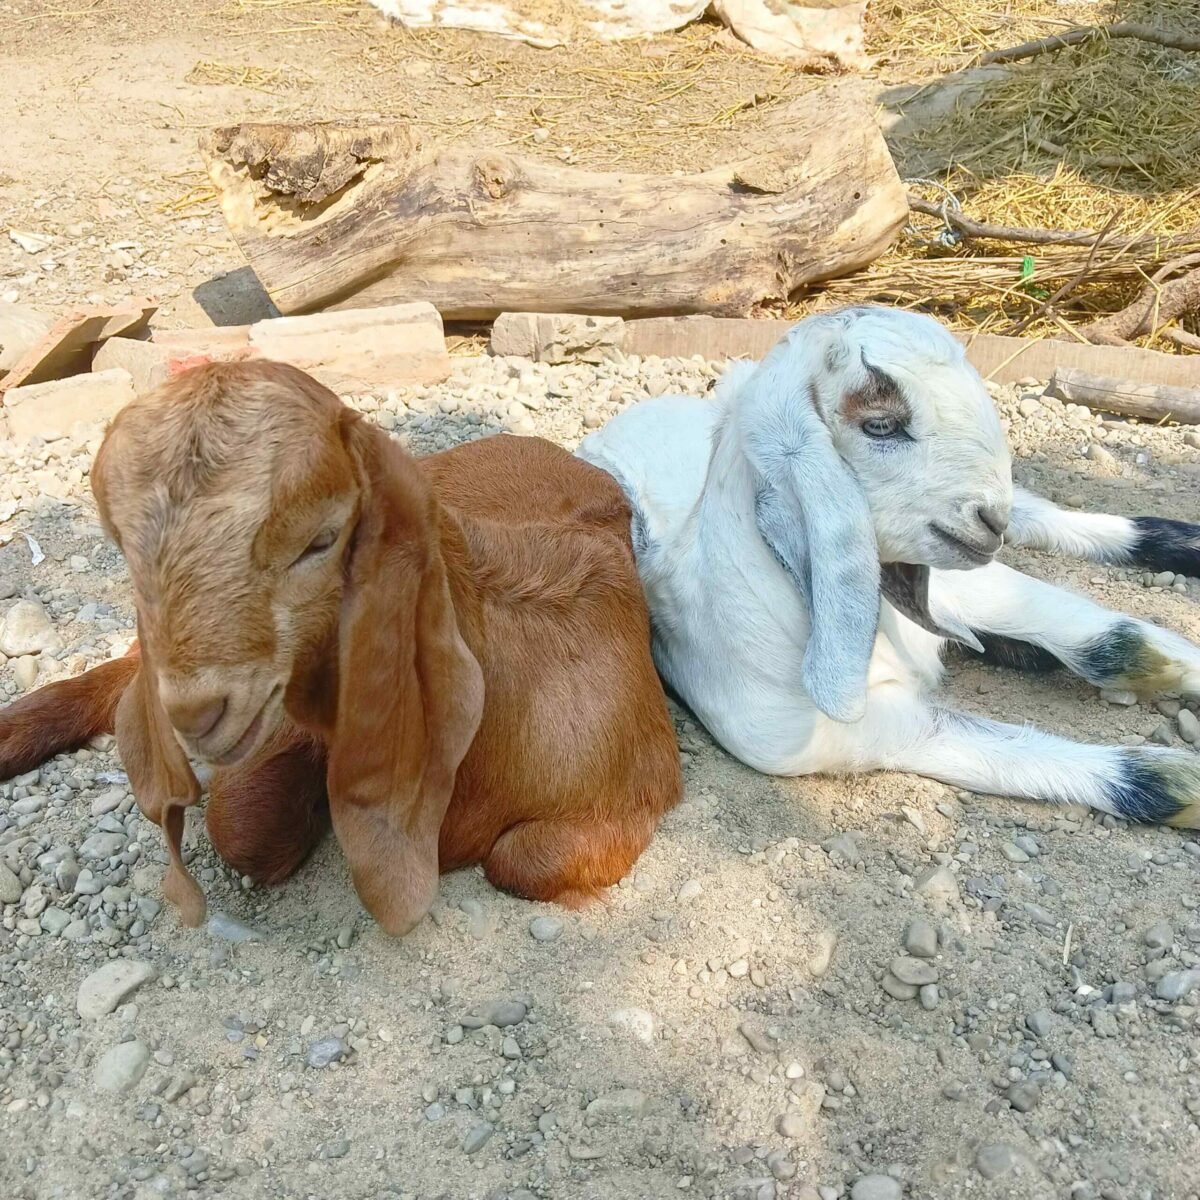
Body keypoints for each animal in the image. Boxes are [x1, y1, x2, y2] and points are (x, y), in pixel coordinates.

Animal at [577, 305, 1200, 828]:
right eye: (880, 425)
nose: (988, 519)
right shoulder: (793, 732)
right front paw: (1179, 783)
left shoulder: (971, 580)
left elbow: (1117, 639)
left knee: (1037, 513)